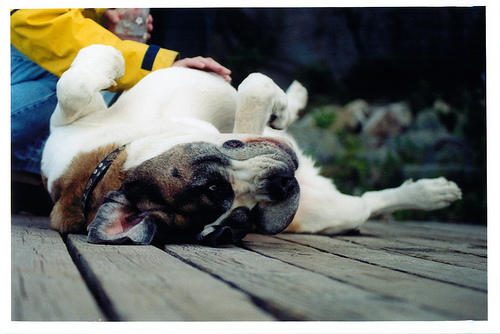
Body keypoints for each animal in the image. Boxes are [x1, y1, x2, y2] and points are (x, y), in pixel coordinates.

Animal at [41, 45, 462, 245]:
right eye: (242, 222)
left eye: (214, 184)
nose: (280, 185)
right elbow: (255, 87)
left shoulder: (71, 124)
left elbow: (73, 86)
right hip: (334, 211)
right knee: (369, 204)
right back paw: (429, 194)